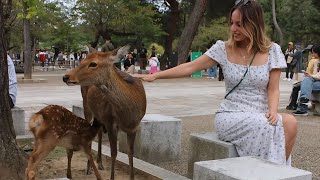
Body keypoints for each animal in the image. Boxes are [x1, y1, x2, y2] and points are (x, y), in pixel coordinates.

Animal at [62, 44, 146, 179]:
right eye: (81, 61)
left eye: (93, 63)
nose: (65, 77)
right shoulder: (111, 123)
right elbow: (114, 153)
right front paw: (111, 177)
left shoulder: (134, 127)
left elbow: (131, 153)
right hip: (87, 106)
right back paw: (89, 168)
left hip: (99, 115)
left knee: (100, 132)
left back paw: (100, 163)